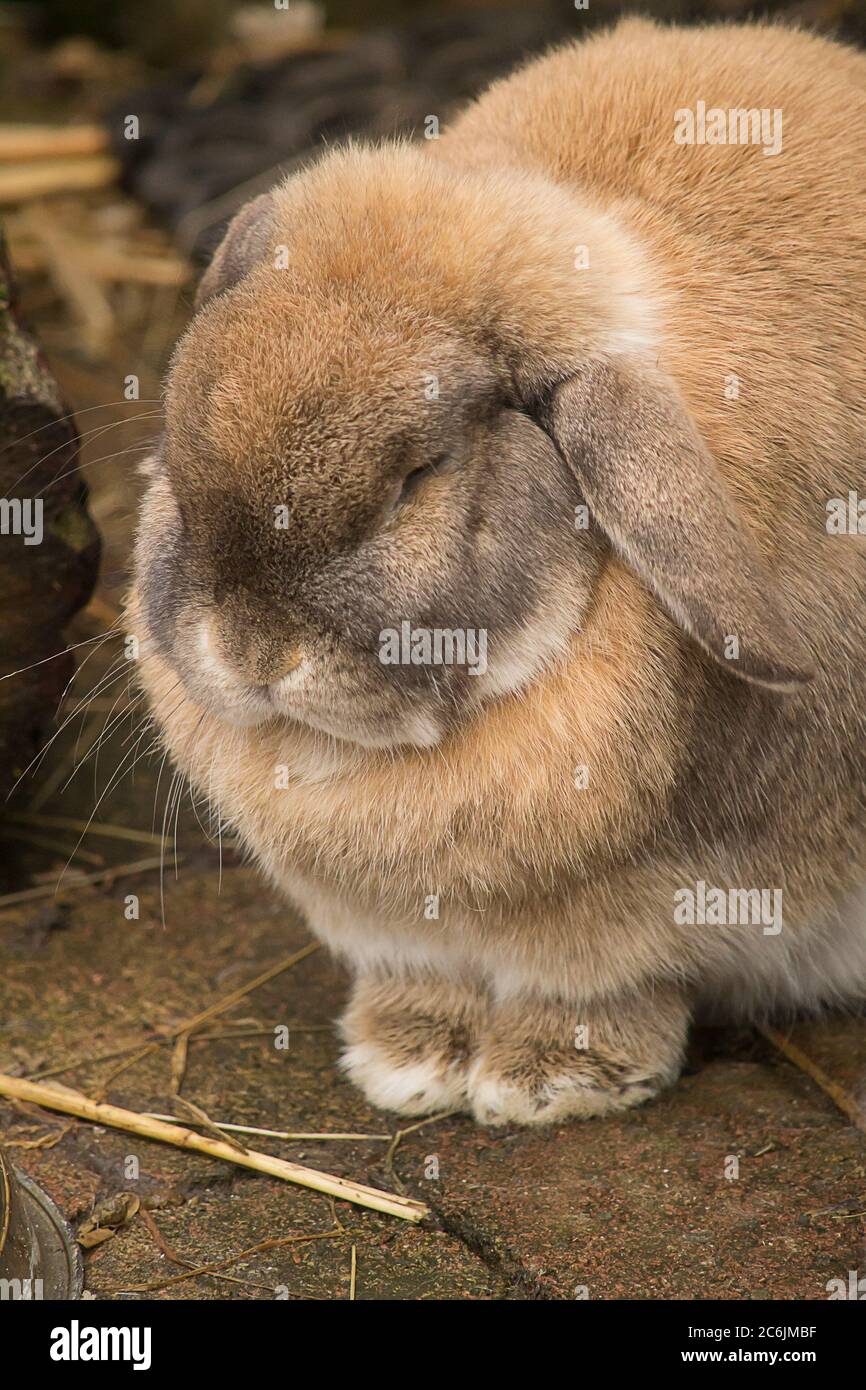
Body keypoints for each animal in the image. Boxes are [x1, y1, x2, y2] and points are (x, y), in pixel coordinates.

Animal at [128, 18, 866, 1125]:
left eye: (416, 476)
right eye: (176, 457)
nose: (252, 652)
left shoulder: (632, 928)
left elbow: (606, 990)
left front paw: (547, 1082)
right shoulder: (401, 933)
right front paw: (404, 1060)